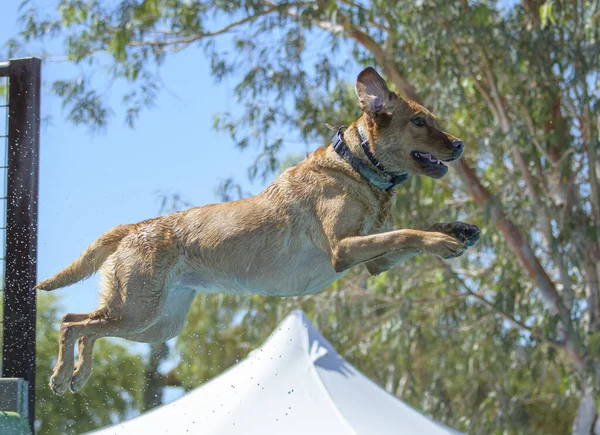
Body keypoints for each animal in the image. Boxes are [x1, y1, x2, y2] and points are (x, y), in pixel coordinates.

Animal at [36, 67, 478, 396]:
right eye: (419, 122)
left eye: (433, 119)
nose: (459, 144)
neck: (358, 164)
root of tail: (136, 226)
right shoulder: (344, 249)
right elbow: (406, 232)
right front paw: (441, 241)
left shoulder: (374, 263)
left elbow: (406, 233)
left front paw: (457, 227)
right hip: (136, 311)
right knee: (72, 323)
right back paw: (60, 375)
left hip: (156, 323)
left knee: (84, 324)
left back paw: (77, 375)